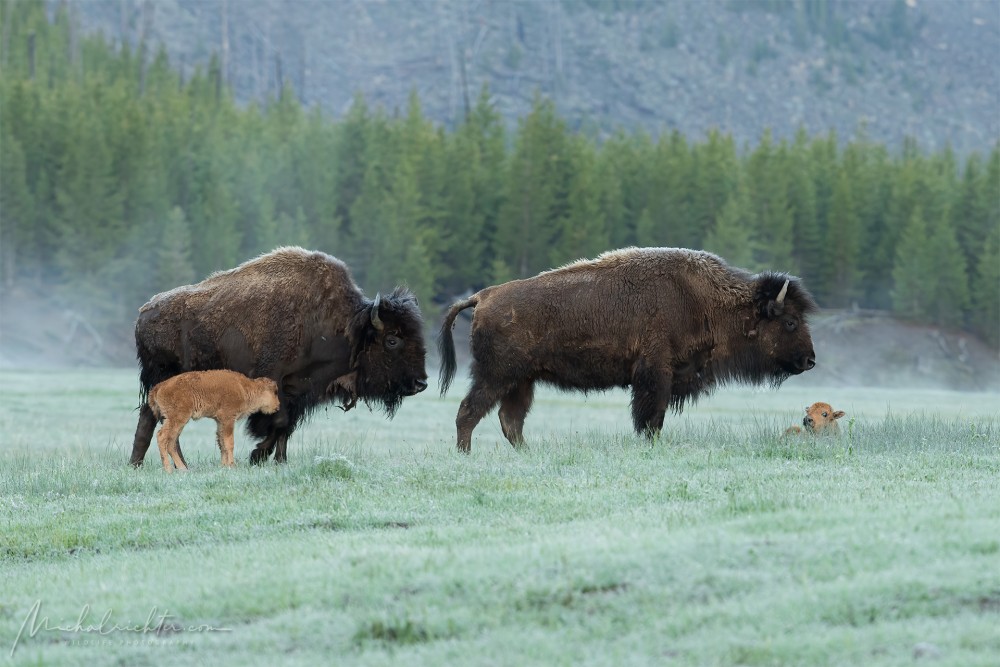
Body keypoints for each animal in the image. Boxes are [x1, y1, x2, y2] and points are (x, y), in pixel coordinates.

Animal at [145, 368, 280, 472]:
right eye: (275, 392)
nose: (278, 406)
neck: (244, 388)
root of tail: (159, 387)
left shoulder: (219, 421)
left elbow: (221, 443)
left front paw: (223, 466)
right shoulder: (228, 419)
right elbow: (229, 443)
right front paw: (232, 465)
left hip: (177, 421)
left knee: (171, 442)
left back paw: (183, 469)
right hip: (177, 419)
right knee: (162, 437)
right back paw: (169, 469)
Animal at [442, 247, 816, 454]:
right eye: (790, 322)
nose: (810, 360)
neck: (705, 300)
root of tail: (483, 296)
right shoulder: (656, 374)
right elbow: (651, 418)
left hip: (521, 381)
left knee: (510, 420)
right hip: (496, 375)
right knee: (468, 412)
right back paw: (465, 456)